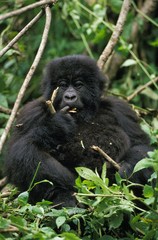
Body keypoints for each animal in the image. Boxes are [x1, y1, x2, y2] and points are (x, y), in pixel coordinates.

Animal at [5, 54, 152, 206]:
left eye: (78, 85)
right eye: (63, 85)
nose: (70, 97)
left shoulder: (119, 109)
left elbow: (141, 145)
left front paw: (128, 168)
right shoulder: (30, 113)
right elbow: (15, 154)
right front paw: (56, 126)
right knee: (27, 152)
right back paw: (66, 196)